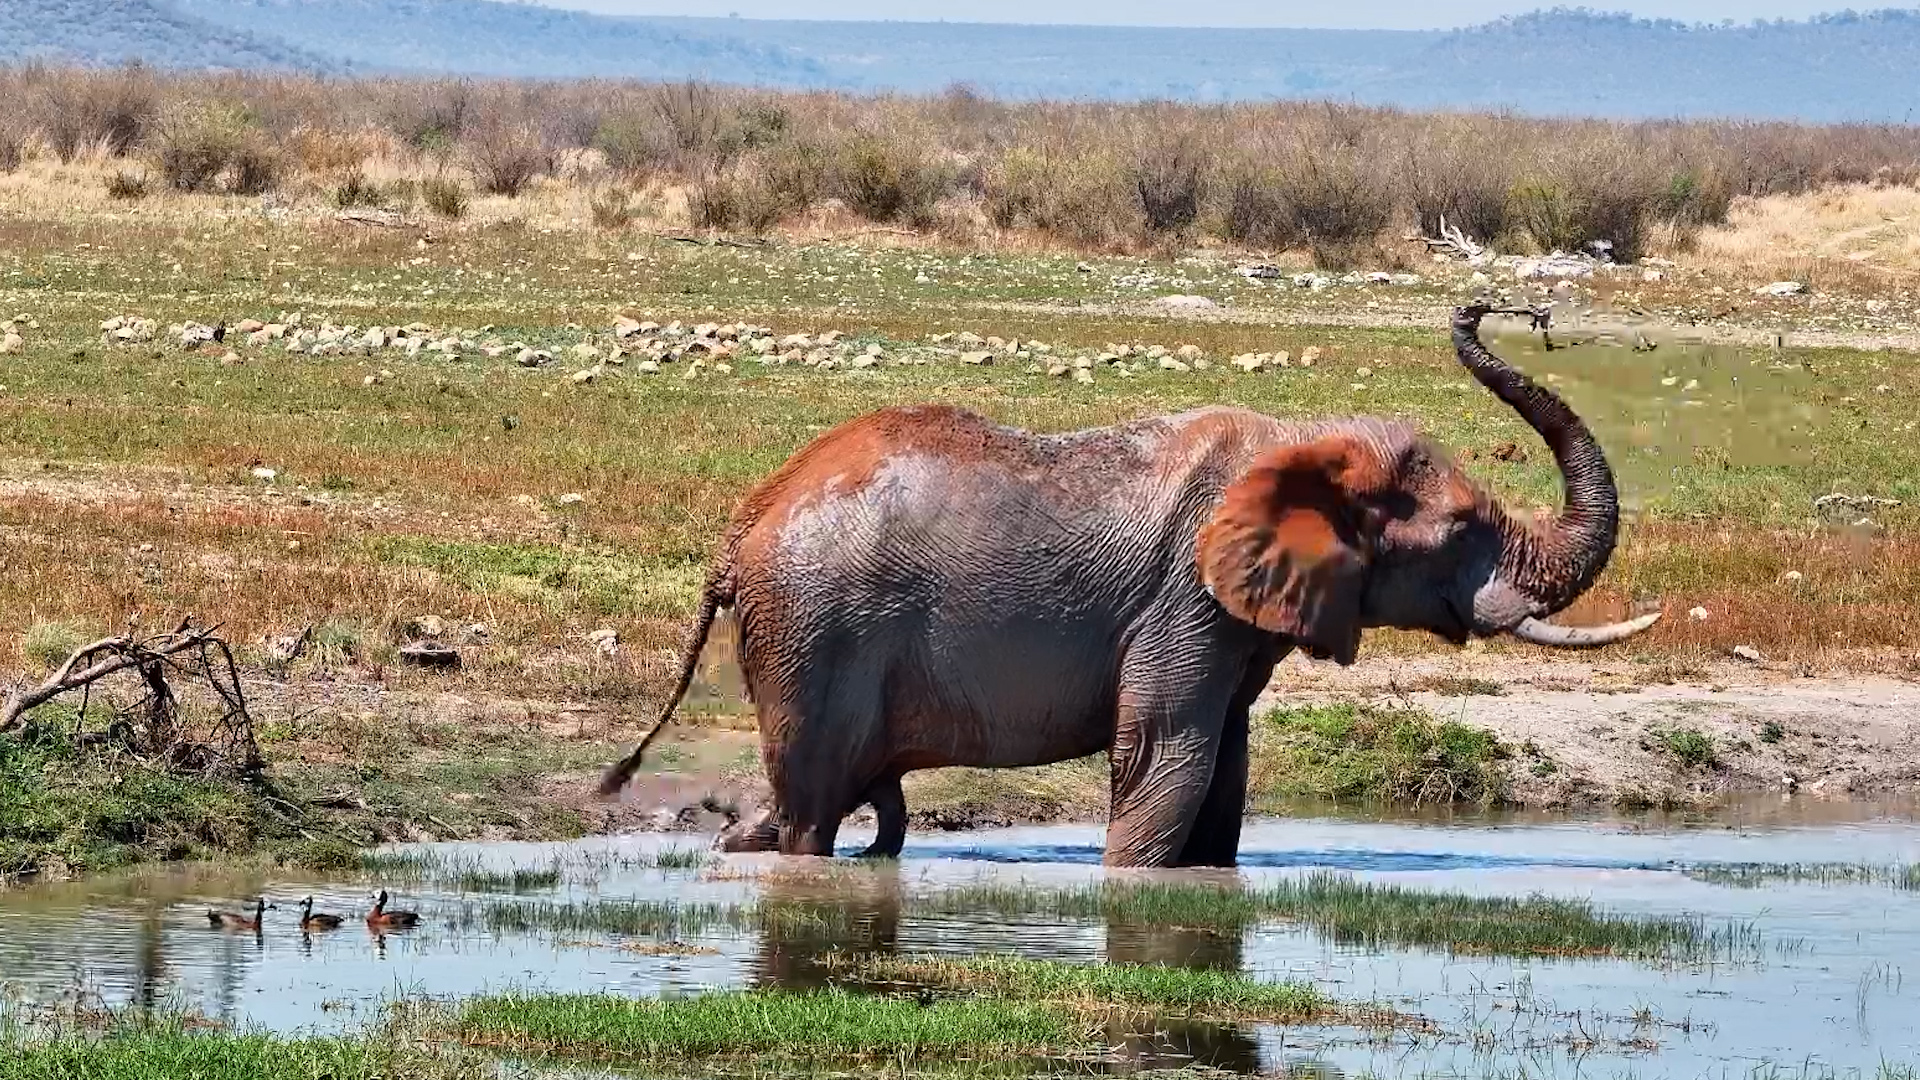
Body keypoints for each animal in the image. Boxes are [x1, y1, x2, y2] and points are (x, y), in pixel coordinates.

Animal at [599, 303, 1661, 868]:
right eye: (1464, 530)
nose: (1494, 309)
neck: (1299, 444)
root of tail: (741, 530)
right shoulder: (1182, 599)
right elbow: (1166, 756)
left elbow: (1225, 765)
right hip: (812, 628)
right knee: (812, 810)